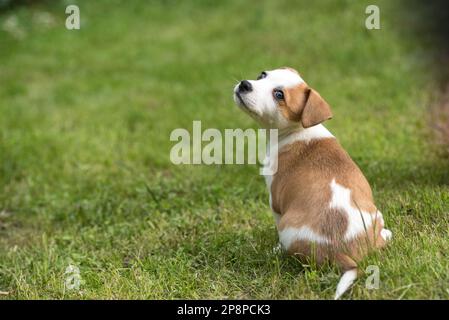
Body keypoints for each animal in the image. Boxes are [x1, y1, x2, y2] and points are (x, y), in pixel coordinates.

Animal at [233, 66, 390, 298]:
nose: (245, 84)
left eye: (279, 95)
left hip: (289, 227)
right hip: (375, 213)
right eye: (262, 75)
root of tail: (343, 255)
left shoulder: (275, 202)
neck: (298, 130)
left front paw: (275, 248)